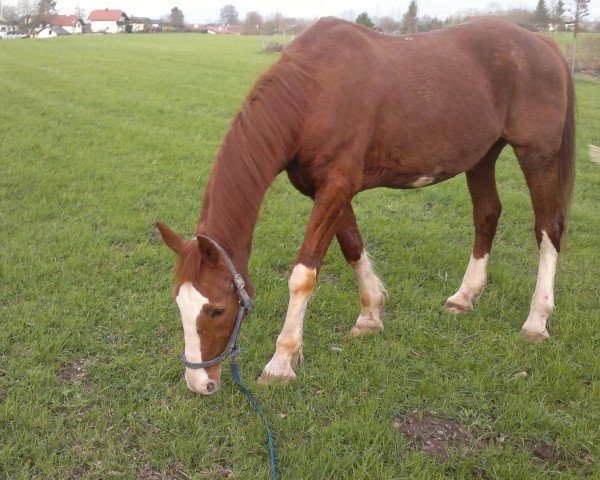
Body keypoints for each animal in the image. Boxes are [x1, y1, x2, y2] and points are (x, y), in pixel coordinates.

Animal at [156, 17, 576, 394]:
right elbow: (352, 247)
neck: (313, 92)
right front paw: (371, 315)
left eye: (216, 309)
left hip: (536, 154)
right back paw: (464, 297)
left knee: (547, 228)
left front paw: (281, 362)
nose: (199, 383)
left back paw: (537, 320)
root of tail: (544, 45)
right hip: (483, 156)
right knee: (487, 215)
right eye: (179, 303)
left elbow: (303, 275)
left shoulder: (335, 188)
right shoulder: (328, 191)